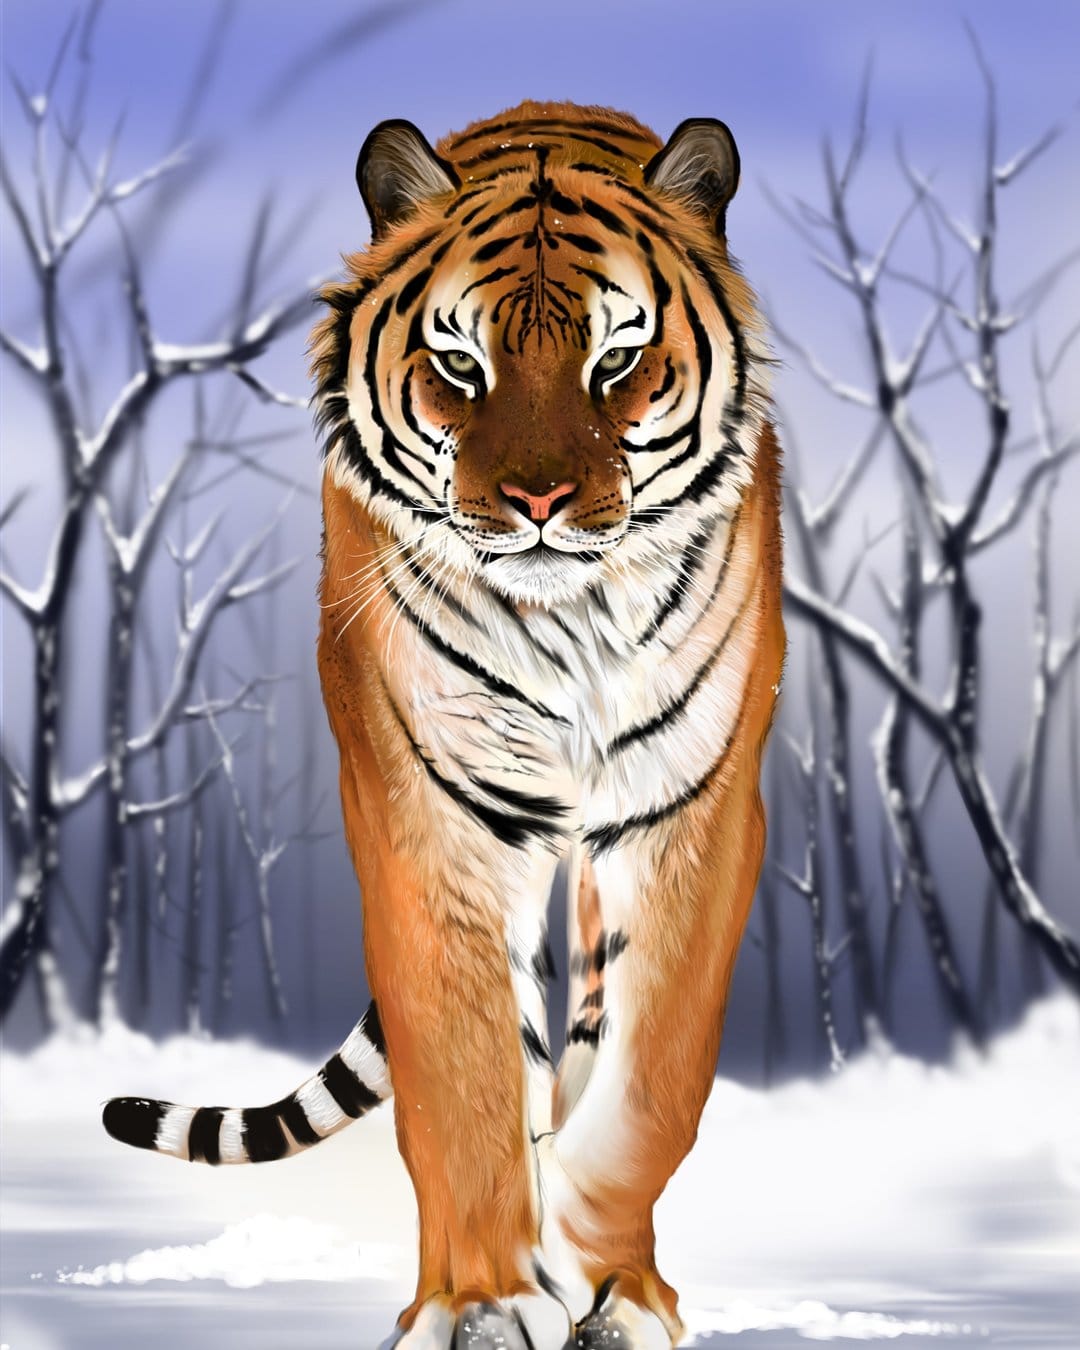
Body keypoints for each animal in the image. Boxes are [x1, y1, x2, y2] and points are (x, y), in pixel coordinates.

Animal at [103, 101, 784, 1349]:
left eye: (617, 360)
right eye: (461, 365)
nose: (538, 503)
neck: (573, 623)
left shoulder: (689, 809)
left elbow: (653, 1077)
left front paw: (606, 1270)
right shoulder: (431, 806)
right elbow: (461, 1073)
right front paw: (482, 1301)